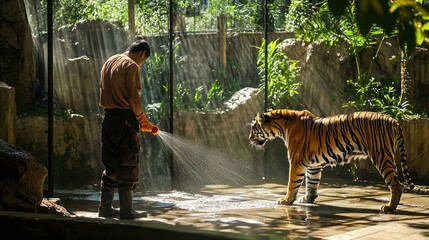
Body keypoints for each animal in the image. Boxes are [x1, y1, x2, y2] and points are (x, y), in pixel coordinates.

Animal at [247, 108, 424, 212]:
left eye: (254, 128)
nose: (249, 138)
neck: (282, 127)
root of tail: (394, 120)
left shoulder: (297, 162)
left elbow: (292, 183)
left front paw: (286, 200)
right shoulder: (313, 165)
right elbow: (312, 183)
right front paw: (308, 199)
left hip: (382, 156)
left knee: (397, 185)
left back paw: (388, 207)